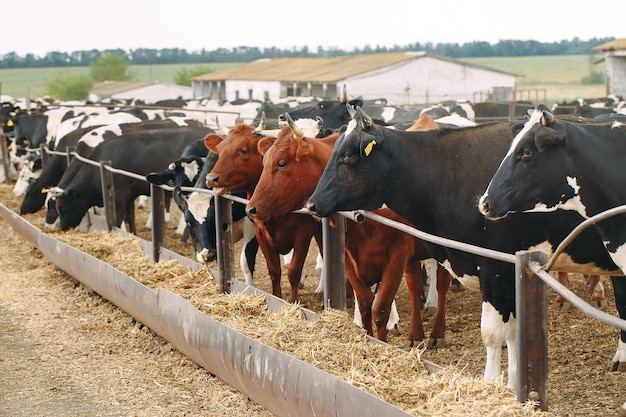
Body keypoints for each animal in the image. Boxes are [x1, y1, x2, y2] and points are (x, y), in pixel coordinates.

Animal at [54, 125, 210, 232]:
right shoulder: (129, 197)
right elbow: (130, 218)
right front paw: (133, 234)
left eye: (62, 208)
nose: (63, 228)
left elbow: (117, 219)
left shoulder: (119, 197)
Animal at [241, 116, 450, 344]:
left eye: (282, 163)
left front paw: (382, 343)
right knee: (414, 285)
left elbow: (380, 309)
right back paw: (416, 334)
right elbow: (366, 305)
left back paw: (437, 333)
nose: (251, 208)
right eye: (264, 161)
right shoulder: (349, 259)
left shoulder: (397, 257)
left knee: (442, 284)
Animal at [304, 105, 616, 390]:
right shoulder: (512, 274)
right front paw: (512, 385)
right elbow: (514, 333)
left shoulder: (496, 269)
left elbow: (493, 333)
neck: (449, 173)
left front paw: (490, 383)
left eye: (347, 156)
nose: (312, 204)